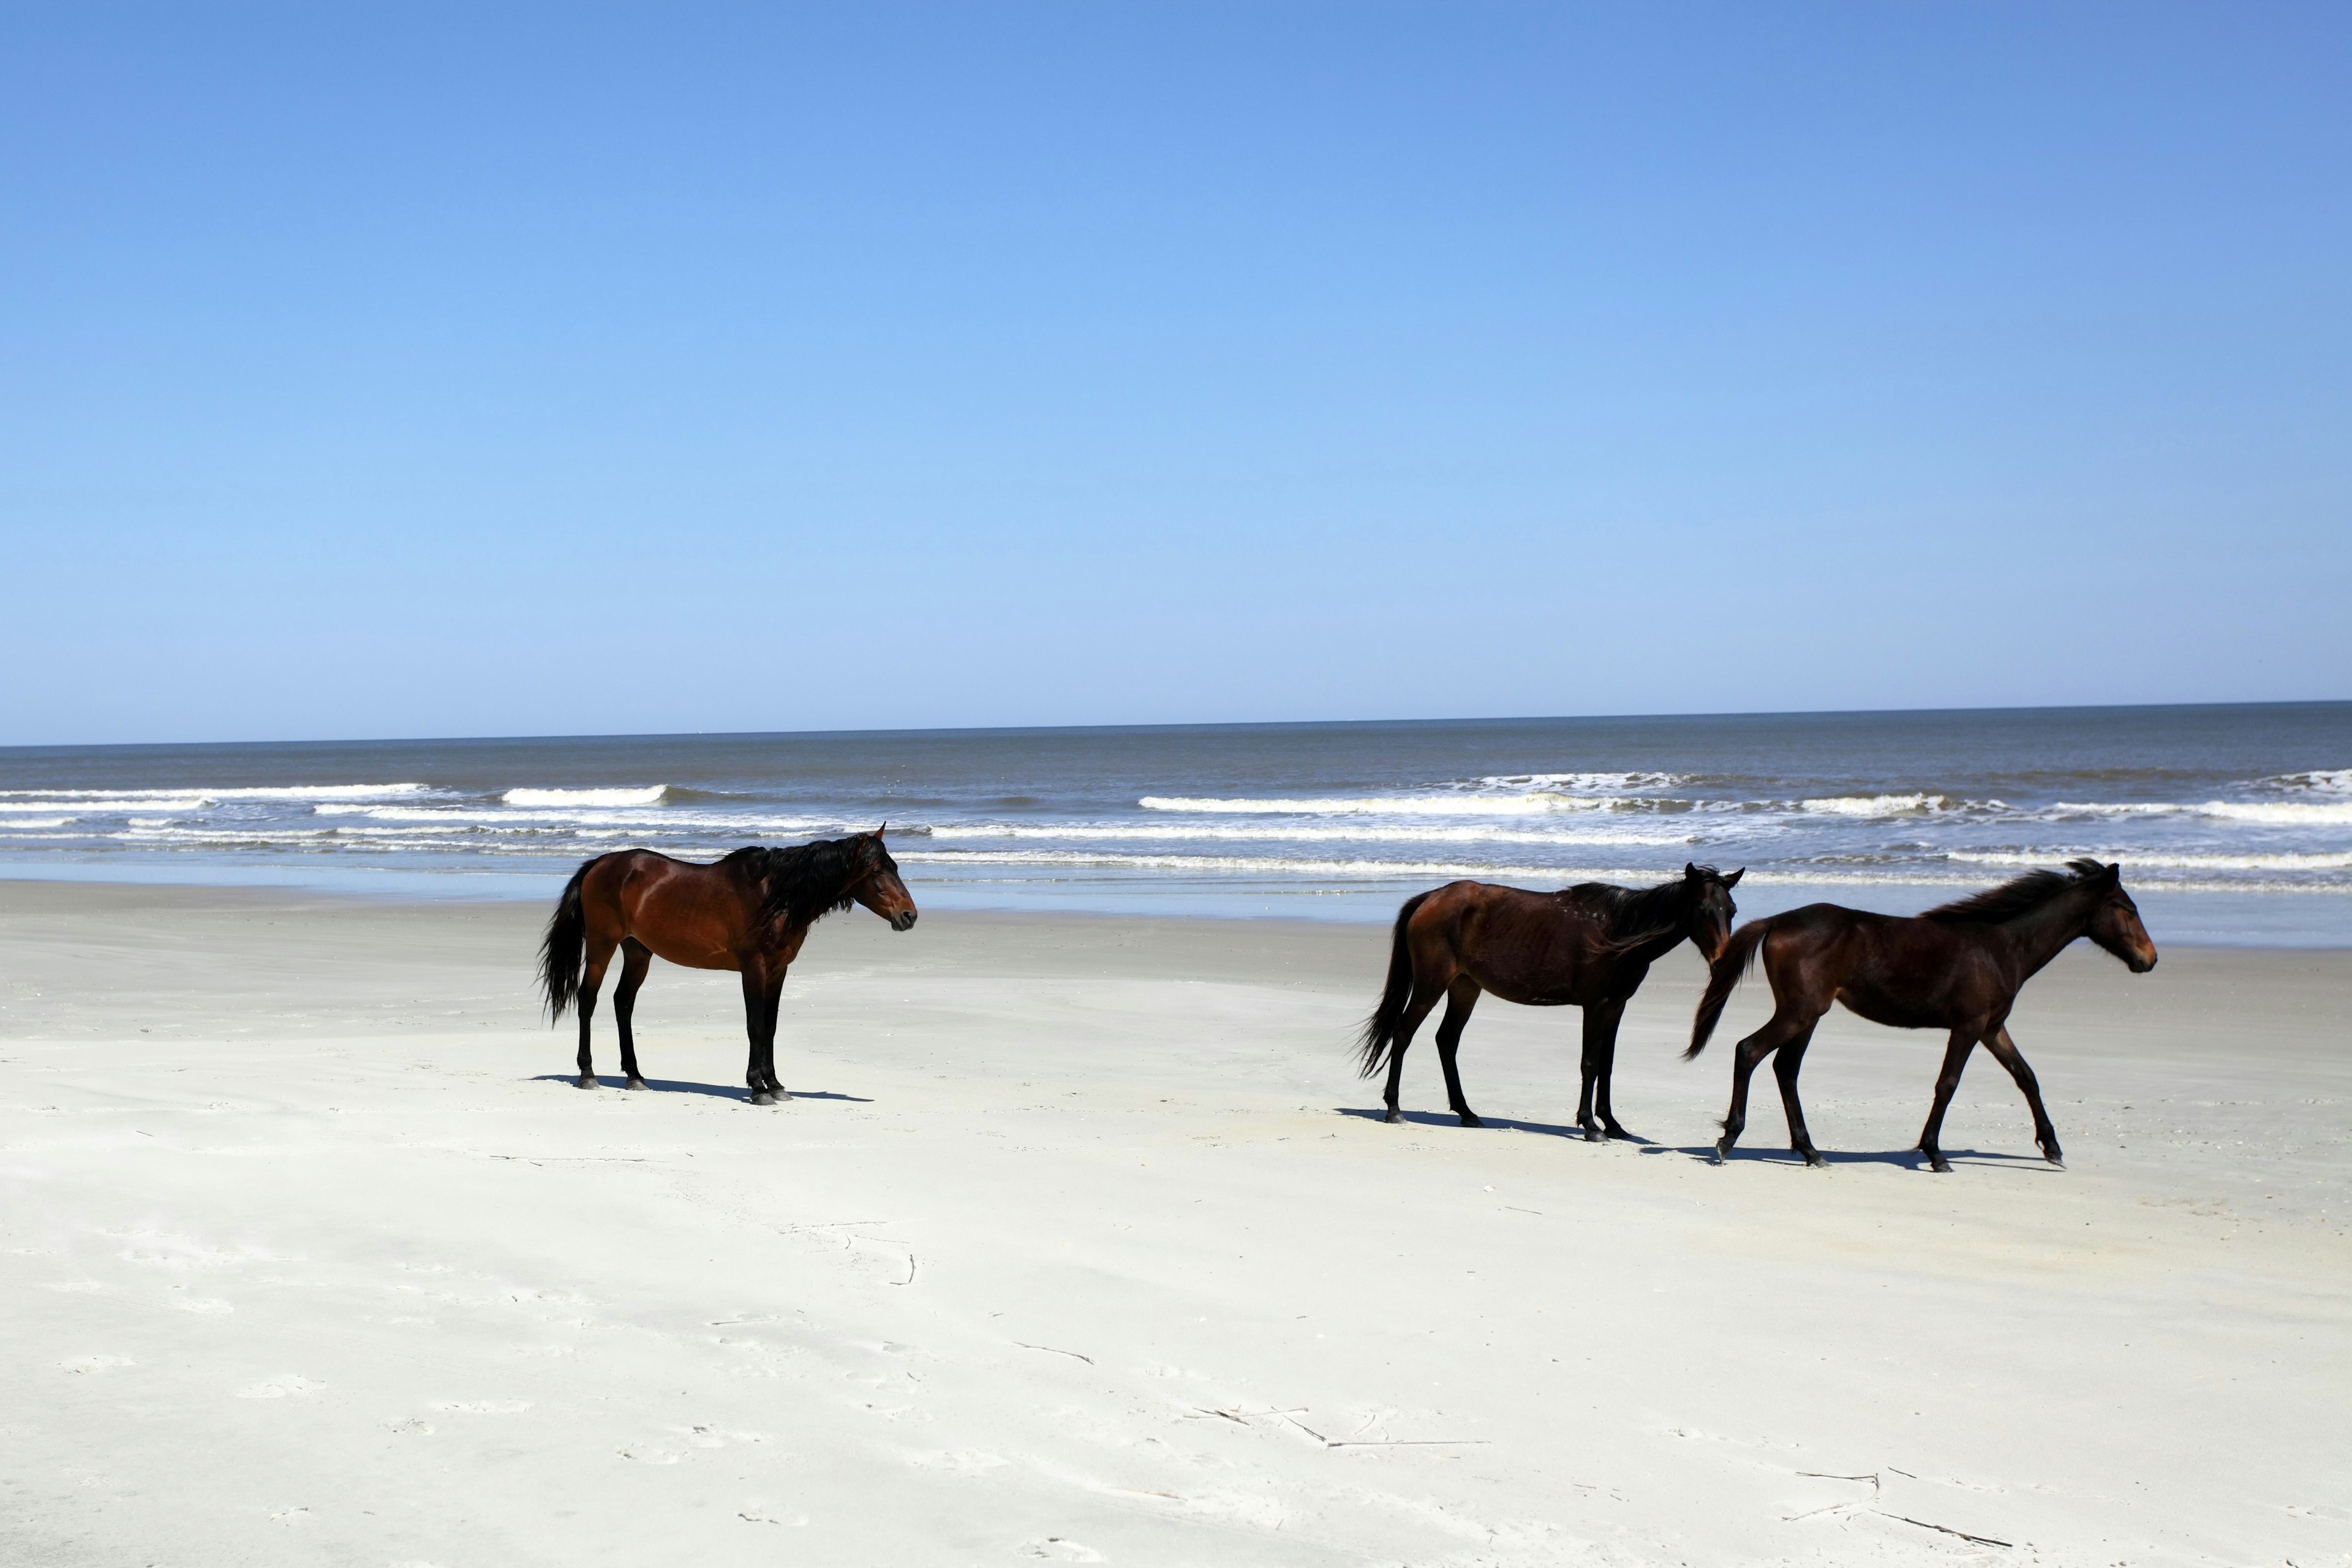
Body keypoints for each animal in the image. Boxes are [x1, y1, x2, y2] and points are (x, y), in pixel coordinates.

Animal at [538, 827, 912, 1109]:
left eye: (894, 867)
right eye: (876, 872)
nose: (909, 916)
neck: (773, 895)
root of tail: (600, 863)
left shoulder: (778, 970)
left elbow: (770, 1027)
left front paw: (776, 1084)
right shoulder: (754, 968)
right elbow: (755, 1026)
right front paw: (758, 1088)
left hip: (638, 952)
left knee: (623, 1003)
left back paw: (635, 1076)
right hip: (602, 947)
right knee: (588, 1000)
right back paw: (588, 1075)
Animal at [1364, 870, 1749, 1142]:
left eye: (1731, 911)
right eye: (1702, 910)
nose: (1722, 962)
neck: (1619, 930)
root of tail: (1432, 897)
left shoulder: (1616, 1007)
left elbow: (1607, 1065)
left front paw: (1613, 1124)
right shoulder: (1595, 1006)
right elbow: (1590, 1064)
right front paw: (1591, 1126)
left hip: (1465, 988)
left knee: (1446, 1041)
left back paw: (1467, 1113)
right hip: (1430, 986)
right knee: (1403, 1034)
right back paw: (1394, 1108)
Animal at [1684, 860, 2154, 1175]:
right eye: (2127, 908)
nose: (2149, 960)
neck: (2001, 947)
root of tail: (1778, 921)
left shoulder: (1993, 1028)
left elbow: (2027, 1077)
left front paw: (2052, 1148)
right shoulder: (1969, 1026)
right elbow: (1948, 1084)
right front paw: (1935, 1154)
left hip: (1808, 1015)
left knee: (1785, 1068)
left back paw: (1812, 1153)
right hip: (1800, 1013)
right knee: (1749, 1051)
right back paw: (1728, 1140)